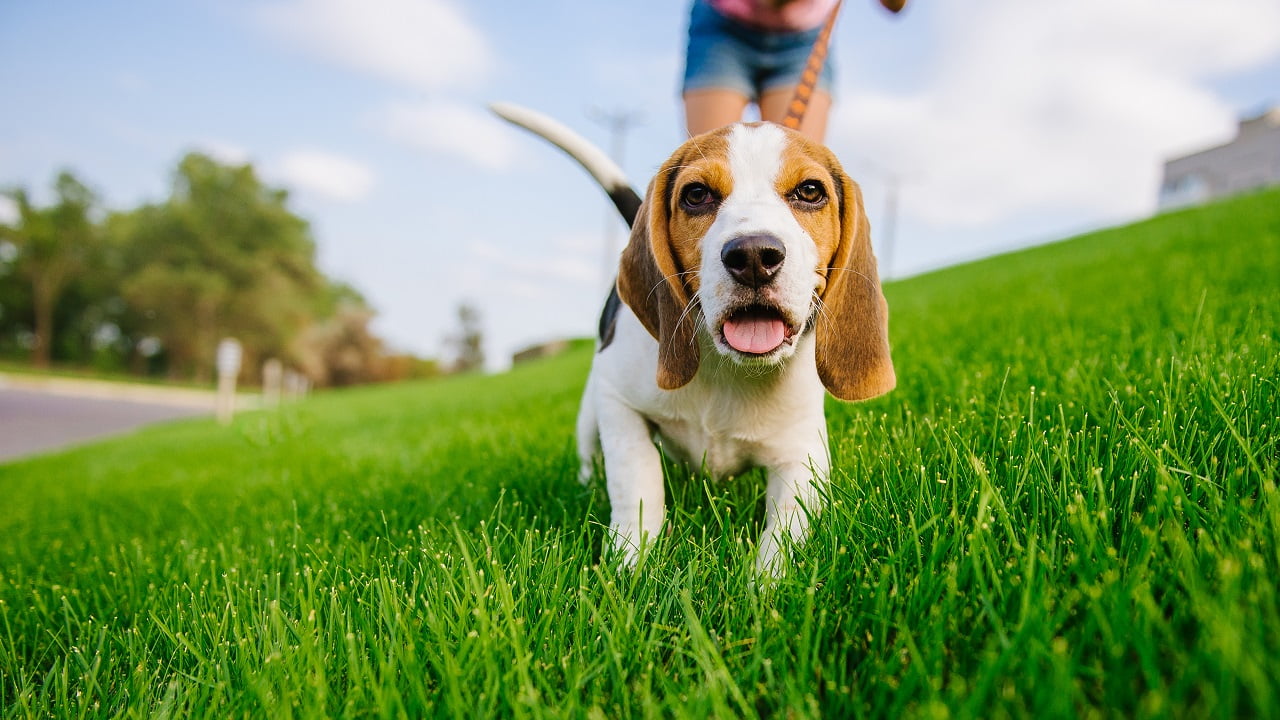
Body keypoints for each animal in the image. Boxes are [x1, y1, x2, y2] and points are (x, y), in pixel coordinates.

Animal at [486, 103, 890, 571]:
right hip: (590, 410)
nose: (754, 255)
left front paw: (766, 581)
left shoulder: (802, 455)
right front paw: (632, 562)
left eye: (810, 191)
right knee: (591, 453)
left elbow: (786, 533)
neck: (727, 370)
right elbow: (636, 479)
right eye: (696, 195)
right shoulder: (618, 402)